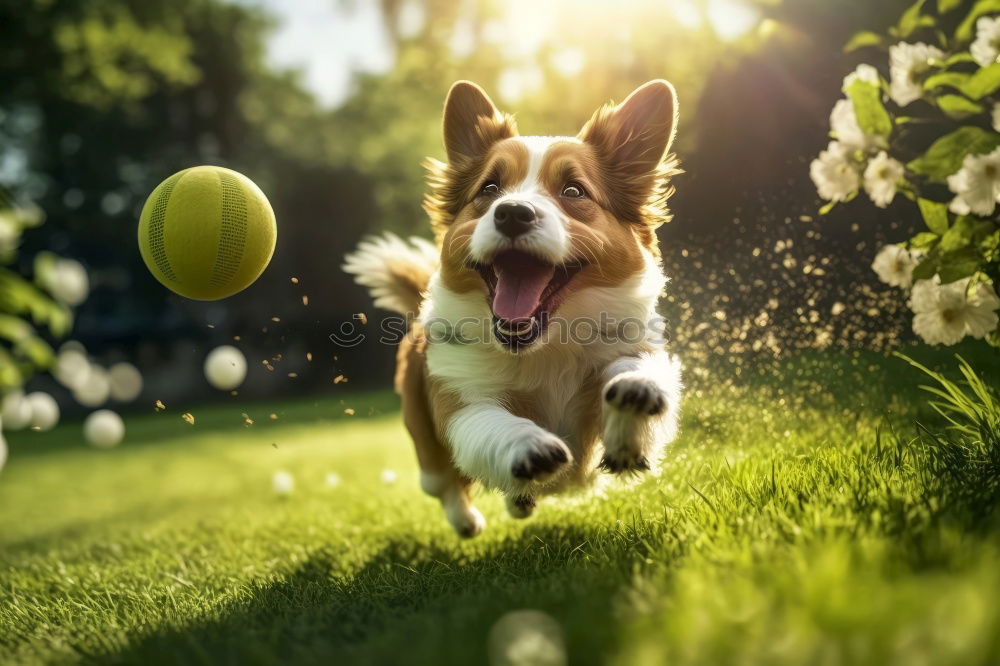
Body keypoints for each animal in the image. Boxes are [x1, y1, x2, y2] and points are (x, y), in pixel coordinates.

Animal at [348, 80, 684, 536]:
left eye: (573, 190)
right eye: (489, 189)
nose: (512, 213)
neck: (547, 345)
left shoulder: (628, 348)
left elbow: (633, 370)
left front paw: (635, 397)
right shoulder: (460, 400)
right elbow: (489, 422)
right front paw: (528, 446)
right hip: (424, 444)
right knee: (444, 484)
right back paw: (469, 520)